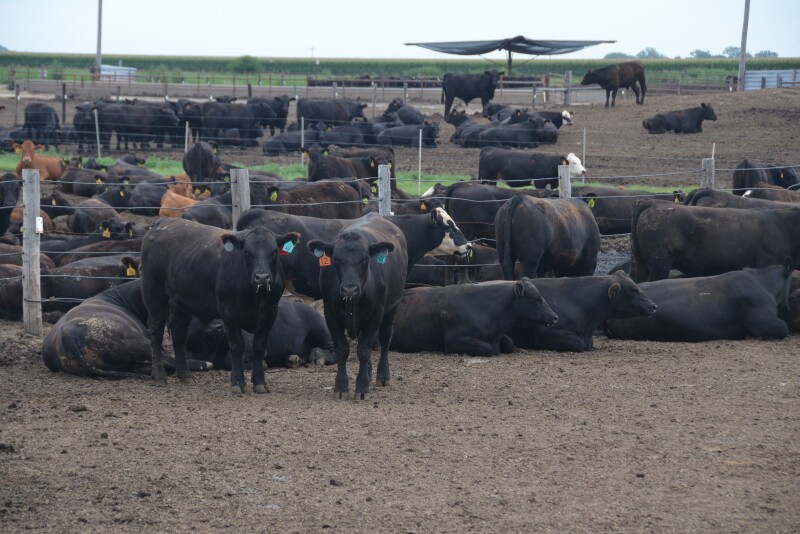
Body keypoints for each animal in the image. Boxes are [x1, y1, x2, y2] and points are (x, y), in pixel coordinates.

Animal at [140, 217, 300, 393]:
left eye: (274, 251)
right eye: (247, 252)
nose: (262, 277)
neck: (255, 295)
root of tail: (161, 223)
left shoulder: (270, 311)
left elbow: (259, 346)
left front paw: (259, 383)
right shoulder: (228, 310)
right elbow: (237, 346)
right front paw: (237, 383)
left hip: (182, 302)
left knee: (178, 333)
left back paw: (185, 375)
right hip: (153, 292)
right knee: (155, 333)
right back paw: (159, 376)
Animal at [308, 213, 408, 400]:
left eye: (365, 259)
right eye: (336, 259)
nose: (350, 289)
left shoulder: (375, 316)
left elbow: (364, 350)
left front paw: (362, 388)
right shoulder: (331, 316)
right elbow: (342, 350)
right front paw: (341, 386)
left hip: (392, 307)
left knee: (385, 338)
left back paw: (383, 376)